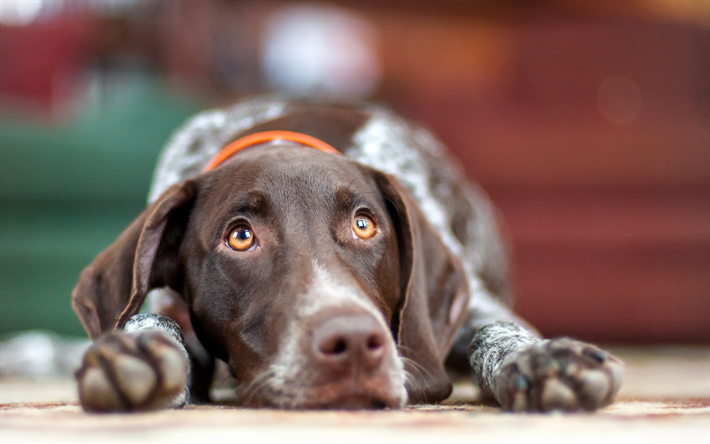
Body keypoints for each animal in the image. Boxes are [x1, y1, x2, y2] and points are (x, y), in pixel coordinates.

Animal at [71, 97, 624, 412]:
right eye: (240, 237)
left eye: (364, 225)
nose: (355, 342)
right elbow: (156, 323)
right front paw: (137, 350)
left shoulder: (470, 309)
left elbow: (496, 330)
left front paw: (542, 357)